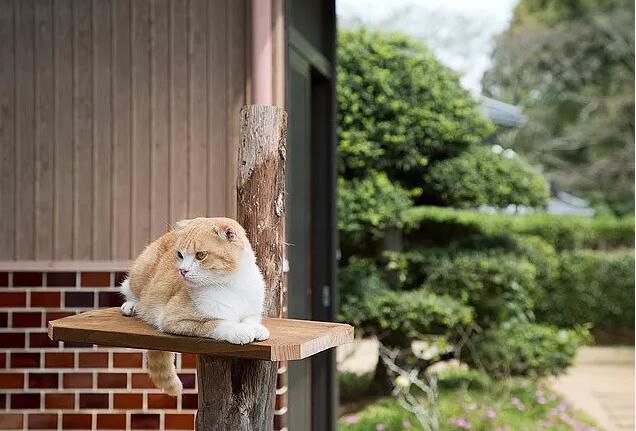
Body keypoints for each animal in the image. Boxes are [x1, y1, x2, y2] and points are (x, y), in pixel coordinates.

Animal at [119, 217, 269, 396]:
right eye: (180, 255)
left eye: (201, 255)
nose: (182, 270)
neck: (232, 285)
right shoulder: (173, 319)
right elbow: (216, 323)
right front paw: (240, 331)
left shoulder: (251, 310)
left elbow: (250, 319)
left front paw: (256, 328)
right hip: (140, 273)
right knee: (129, 289)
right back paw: (131, 306)